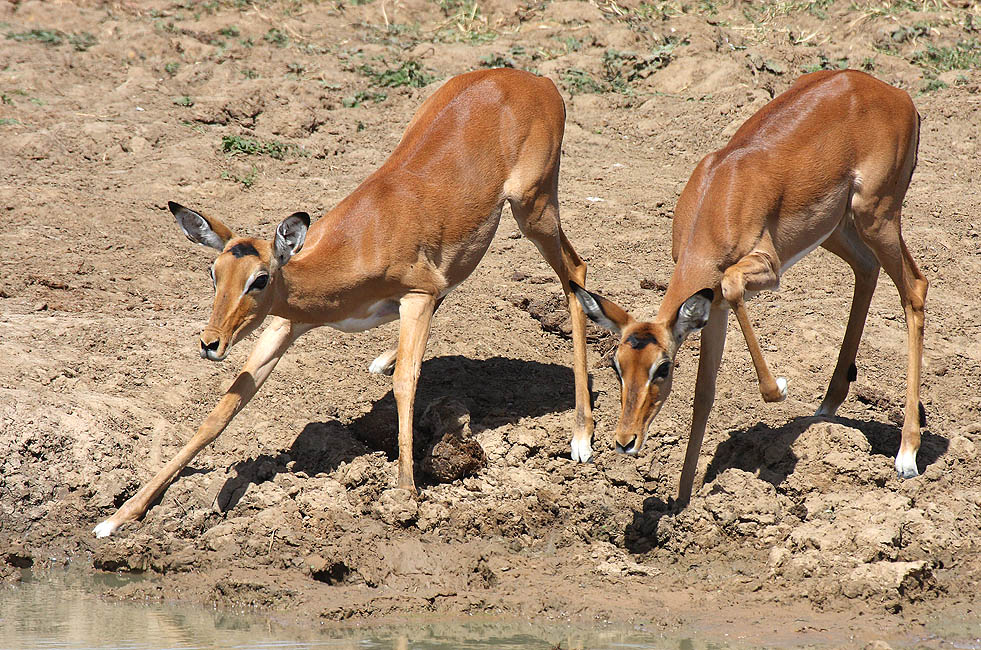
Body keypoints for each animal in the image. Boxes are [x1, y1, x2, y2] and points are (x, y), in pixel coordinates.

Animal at [94, 69, 596, 536]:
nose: (210, 343)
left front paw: (404, 492)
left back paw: (582, 437)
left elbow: (406, 384)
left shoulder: (416, 296)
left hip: (533, 207)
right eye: (213, 272)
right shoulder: (286, 324)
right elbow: (224, 408)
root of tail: (537, 81)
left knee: (576, 272)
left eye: (260, 279)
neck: (356, 245)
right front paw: (120, 516)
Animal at [572, 72, 924, 506]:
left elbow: (733, 285)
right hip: (838, 229)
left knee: (915, 288)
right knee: (867, 269)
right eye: (616, 365)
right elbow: (704, 393)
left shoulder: (763, 270)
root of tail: (897, 95)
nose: (625, 441)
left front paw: (781, 389)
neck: (719, 197)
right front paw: (682, 502)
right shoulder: (713, 308)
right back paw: (828, 403)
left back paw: (907, 454)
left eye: (663, 367)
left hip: (877, 216)